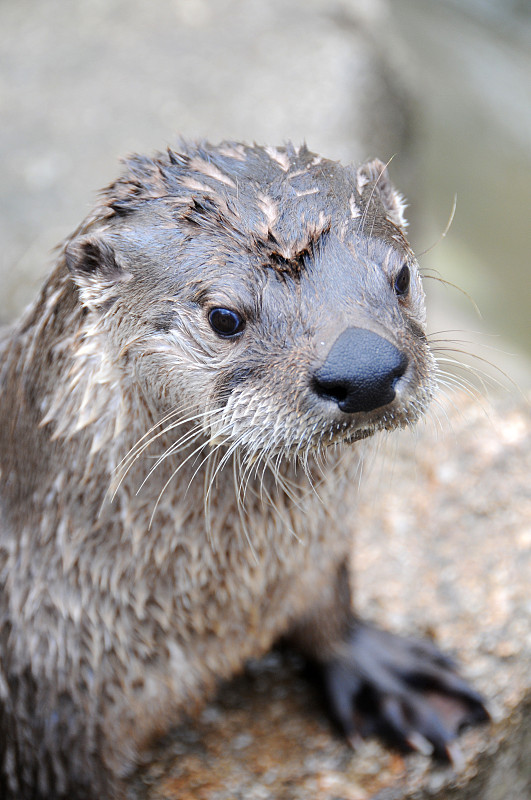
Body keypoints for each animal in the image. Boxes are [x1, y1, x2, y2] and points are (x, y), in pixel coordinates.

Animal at [0, 144, 488, 800]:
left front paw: (382, 671)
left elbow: (329, 605)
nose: (365, 369)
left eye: (403, 277)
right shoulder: (48, 722)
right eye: (224, 317)